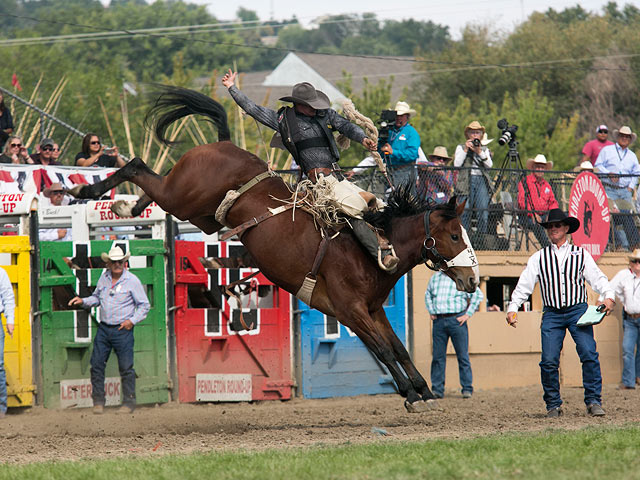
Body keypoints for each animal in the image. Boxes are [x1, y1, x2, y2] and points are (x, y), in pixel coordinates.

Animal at [69, 86, 480, 412]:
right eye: (455, 236)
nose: (473, 280)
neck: (371, 250)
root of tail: (221, 145)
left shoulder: (373, 310)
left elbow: (397, 347)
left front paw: (423, 391)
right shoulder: (349, 311)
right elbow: (380, 349)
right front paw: (410, 394)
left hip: (198, 213)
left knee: (149, 181)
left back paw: (126, 207)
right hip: (182, 197)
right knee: (139, 166)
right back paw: (89, 190)